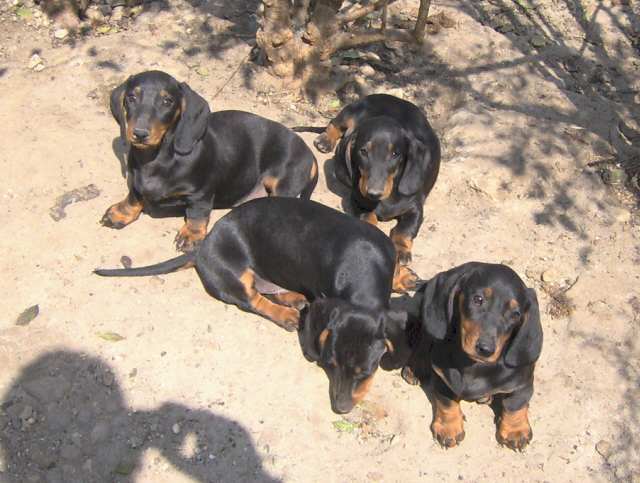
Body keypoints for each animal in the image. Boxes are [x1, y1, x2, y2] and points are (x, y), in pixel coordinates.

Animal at [95, 197, 418, 413]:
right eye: (331, 364)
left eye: (365, 372)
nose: (341, 409)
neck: (362, 266)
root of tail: (203, 247)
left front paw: (402, 277)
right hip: (235, 274)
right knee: (253, 299)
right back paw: (286, 313)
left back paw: (293, 298)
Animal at [101, 70, 318, 252]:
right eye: (131, 97)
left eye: (167, 102)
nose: (140, 134)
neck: (158, 157)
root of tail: (308, 152)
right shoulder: (136, 180)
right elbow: (134, 195)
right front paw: (121, 212)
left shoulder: (201, 193)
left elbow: (197, 212)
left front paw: (191, 234)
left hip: (282, 183)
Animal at [293, 94, 440, 266]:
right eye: (363, 152)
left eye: (395, 154)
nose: (374, 193)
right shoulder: (359, 200)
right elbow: (368, 217)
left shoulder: (415, 208)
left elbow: (404, 228)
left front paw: (401, 250)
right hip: (350, 113)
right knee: (334, 123)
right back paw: (326, 140)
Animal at [401, 262, 543, 451]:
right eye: (478, 299)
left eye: (515, 314)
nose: (486, 349)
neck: (474, 365)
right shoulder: (442, 376)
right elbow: (446, 401)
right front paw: (448, 427)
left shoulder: (523, 383)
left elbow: (515, 404)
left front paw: (515, 430)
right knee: (426, 336)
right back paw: (416, 366)